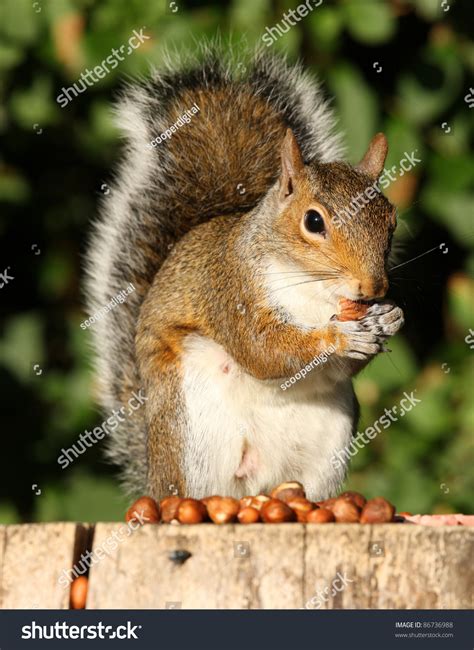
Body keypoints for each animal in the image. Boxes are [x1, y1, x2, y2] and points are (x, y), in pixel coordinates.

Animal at [85, 46, 404, 502]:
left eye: (392, 220)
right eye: (313, 221)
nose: (373, 286)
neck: (313, 292)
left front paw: (390, 317)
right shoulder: (230, 288)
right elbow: (262, 349)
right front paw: (337, 336)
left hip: (327, 445)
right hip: (190, 432)